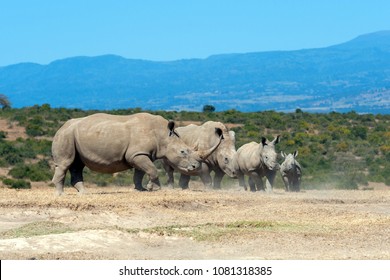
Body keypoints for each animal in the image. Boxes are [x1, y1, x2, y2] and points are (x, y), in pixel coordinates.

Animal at [51, 112, 222, 196]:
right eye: (183, 152)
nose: (195, 167)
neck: (163, 135)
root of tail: (62, 127)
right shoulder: (137, 154)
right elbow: (152, 169)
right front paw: (155, 189)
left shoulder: (140, 154)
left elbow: (139, 173)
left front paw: (141, 189)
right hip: (66, 135)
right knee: (65, 163)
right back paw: (61, 195)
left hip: (74, 135)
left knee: (77, 165)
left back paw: (84, 193)